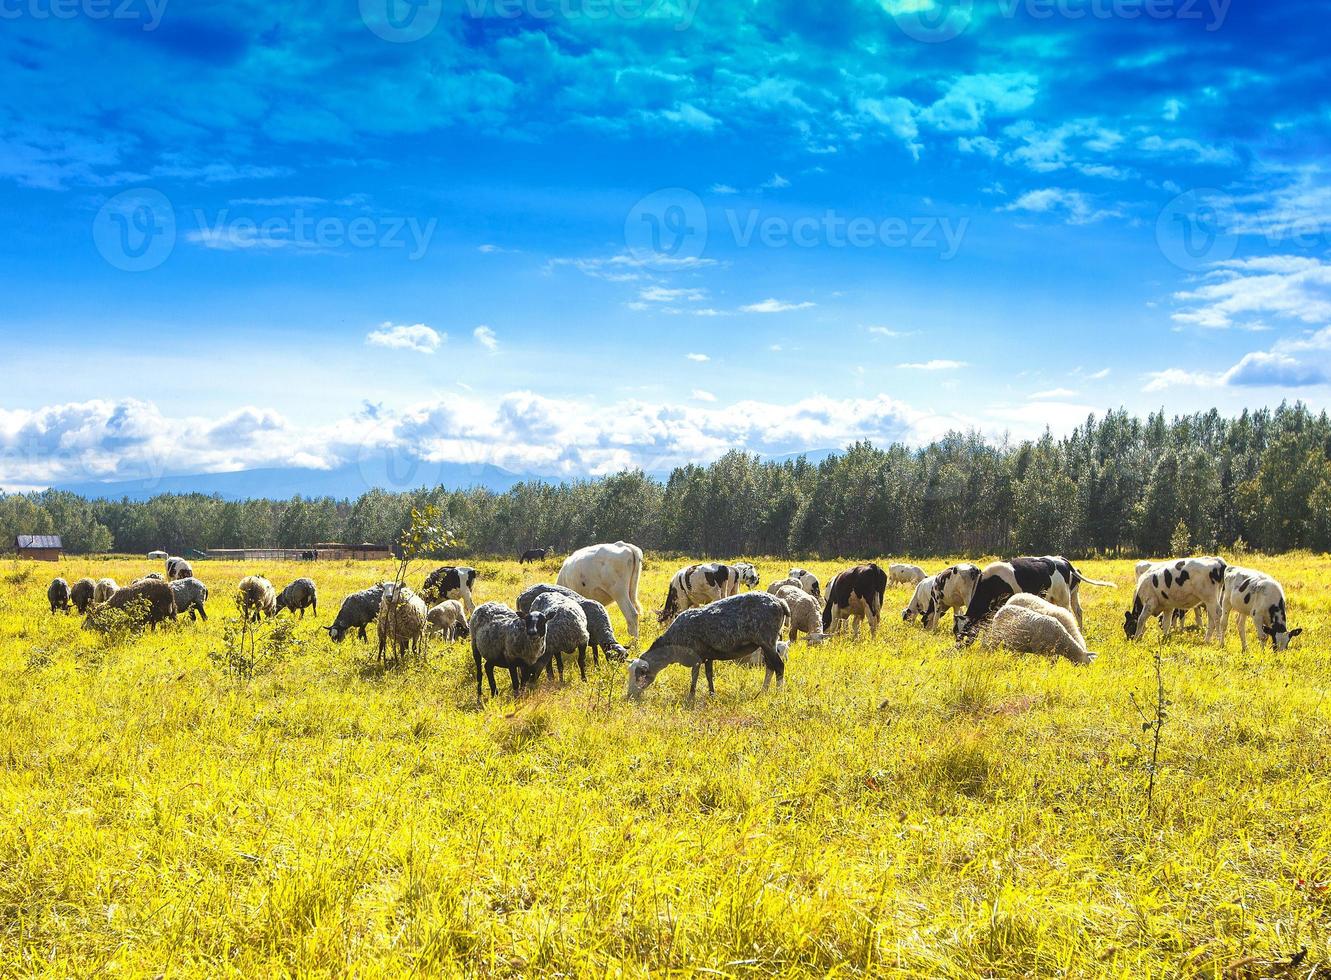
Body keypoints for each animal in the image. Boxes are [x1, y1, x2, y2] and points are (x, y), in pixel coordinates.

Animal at [625, 593, 787, 703]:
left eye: (640, 674)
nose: (629, 696)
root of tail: (780, 602)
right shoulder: (708, 655)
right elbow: (709, 675)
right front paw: (712, 694)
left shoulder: (696, 656)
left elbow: (694, 676)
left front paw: (691, 697)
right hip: (766, 644)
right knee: (770, 667)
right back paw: (763, 692)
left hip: (767, 641)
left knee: (779, 666)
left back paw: (778, 694)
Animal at [963, 553, 1118, 639]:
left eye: (964, 634)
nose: (960, 649)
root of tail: (1061, 560)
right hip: (1071, 595)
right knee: (1078, 611)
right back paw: (1081, 632)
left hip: (1063, 597)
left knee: (1069, 614)